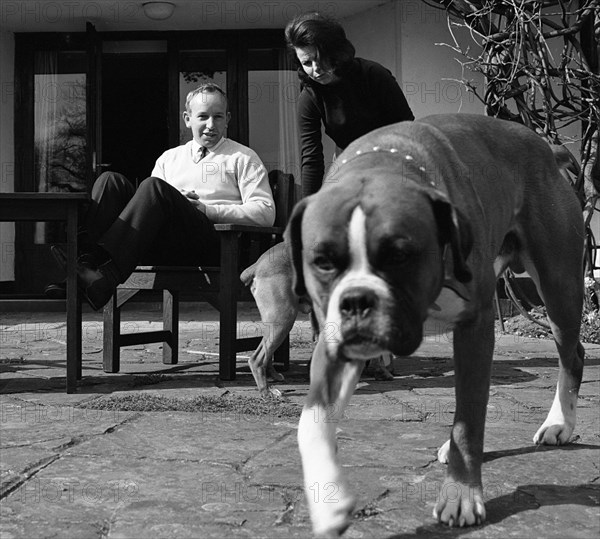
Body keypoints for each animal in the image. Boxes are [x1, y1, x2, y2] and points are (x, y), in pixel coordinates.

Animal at [284, 114, 584, 536]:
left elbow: (468, 420)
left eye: (400, 256)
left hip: (559, 291)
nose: (357, 300)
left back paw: (560, 423)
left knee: (573, 354)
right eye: (322, 262)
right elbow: (310, 422)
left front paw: (461, 494)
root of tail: (546, 148)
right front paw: (328, 499)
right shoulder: (332, 347)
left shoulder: (475, 327)